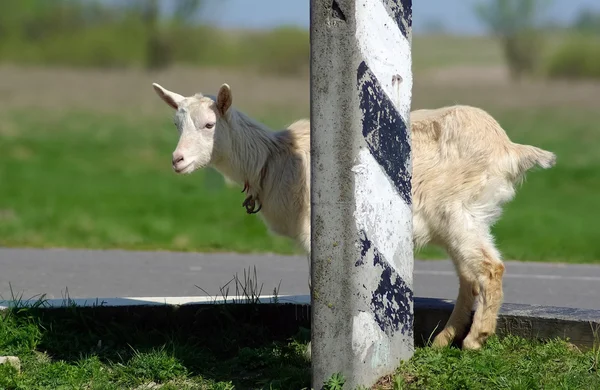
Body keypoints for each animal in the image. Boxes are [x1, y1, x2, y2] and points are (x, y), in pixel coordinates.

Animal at [152, 82, 556, 350]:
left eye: (209, 125)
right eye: (176, 124)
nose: (178, 160)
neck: (270, 160)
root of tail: (509, 149)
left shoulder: (316, 230)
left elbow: (320, 285)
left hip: (458, 210)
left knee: (489, 268)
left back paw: (475, 340)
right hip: (463, 218)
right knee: (469, 276)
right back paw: (444, 339)